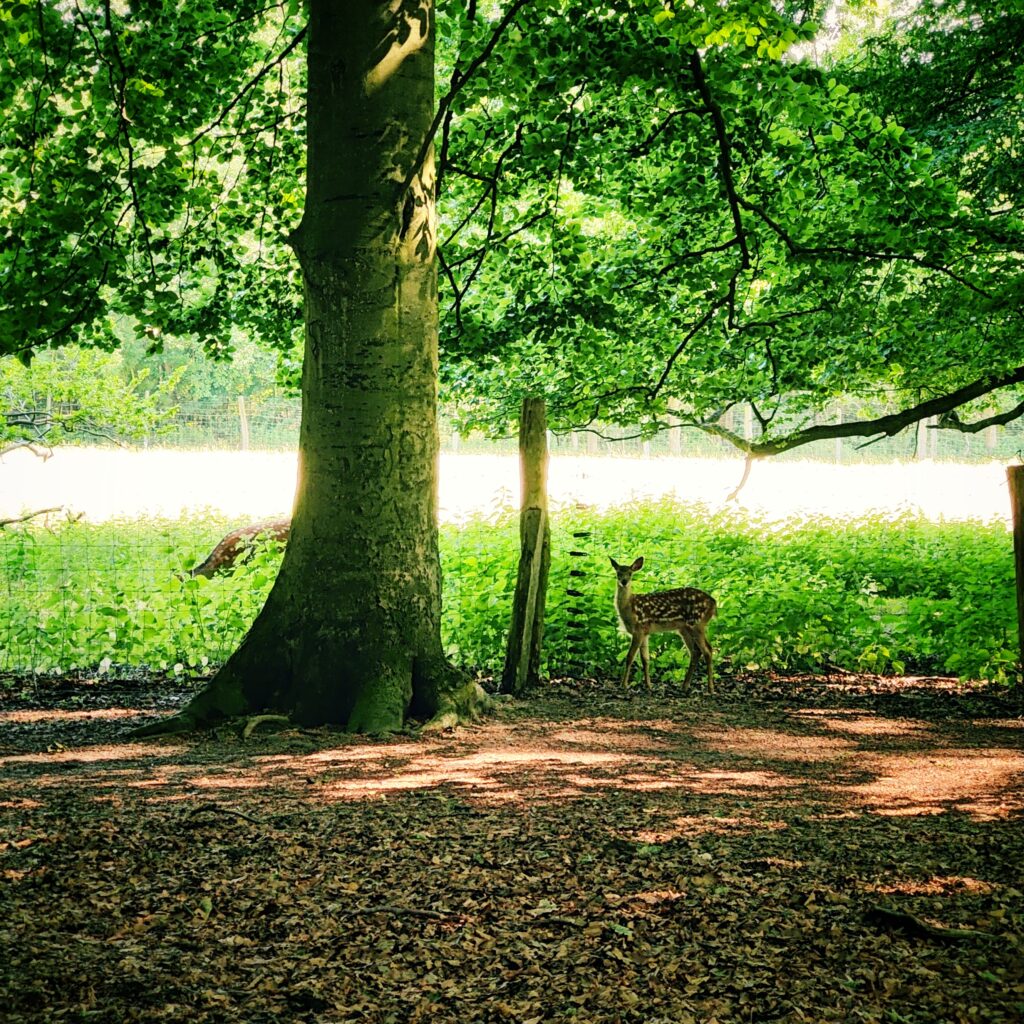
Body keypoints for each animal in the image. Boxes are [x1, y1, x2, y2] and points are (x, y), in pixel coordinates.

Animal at [610, 556, 716, 694]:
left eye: (630, 573)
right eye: (618, 573)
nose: (624, 582)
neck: (630, 608)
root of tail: (713, 603)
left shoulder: (639, 629)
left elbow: (630, 657)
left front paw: (623, 685)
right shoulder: (645, 632)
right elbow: (645, 659)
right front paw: (648, 686)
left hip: (697, 623)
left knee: (708, 650)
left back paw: (710, 688)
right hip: (685, 628)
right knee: (696, 652)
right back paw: (685, 685)